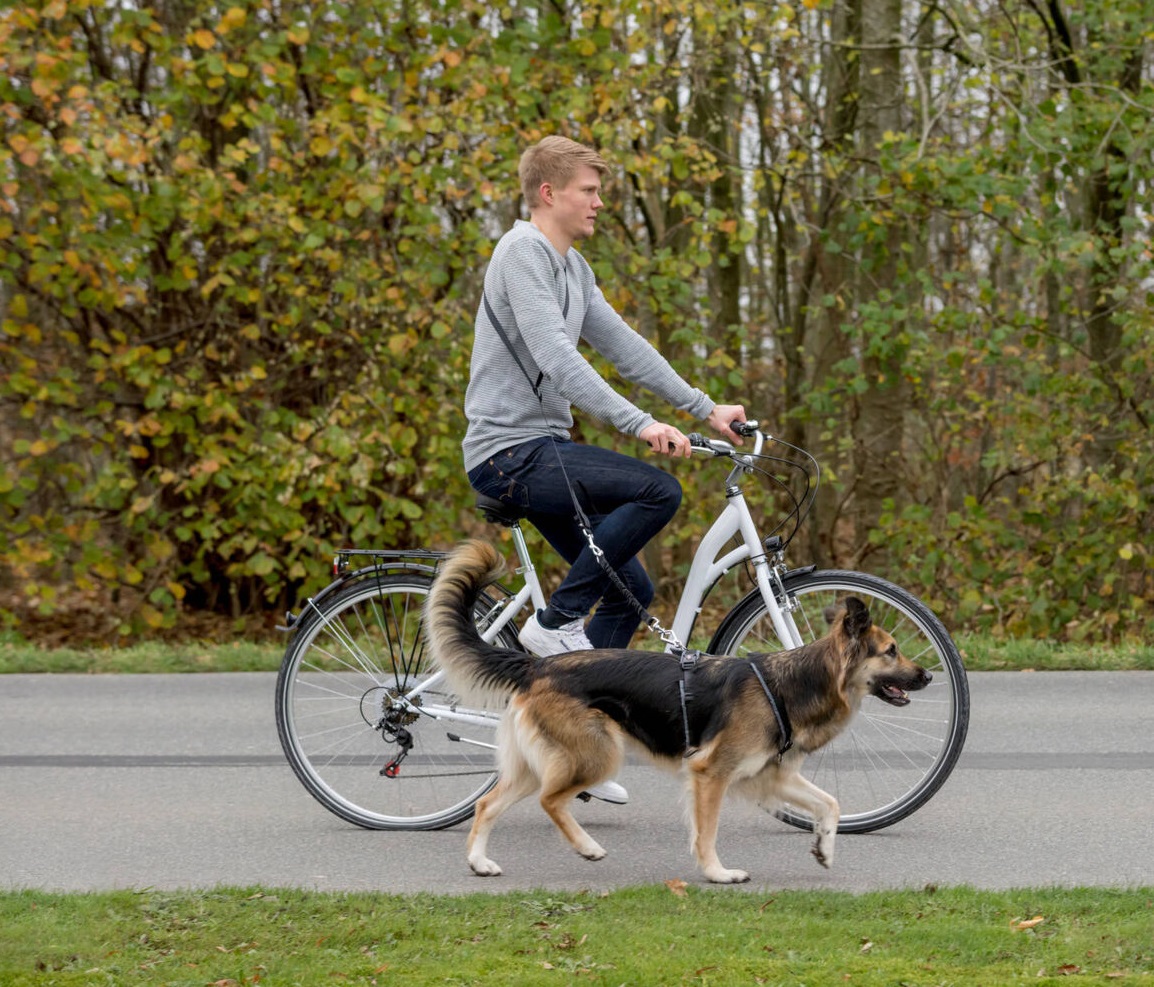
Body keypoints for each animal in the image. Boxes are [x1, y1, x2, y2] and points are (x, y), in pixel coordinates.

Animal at [420, 544, 932, 881]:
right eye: (891, 651)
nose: (928, 675)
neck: (789, 684)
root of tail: (539, 664)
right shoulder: (711, 774)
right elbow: (707, 832)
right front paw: (717, 873)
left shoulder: (772, 776)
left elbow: (830, 804)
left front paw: (824, 847)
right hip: (597, 756)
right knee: (551, 800)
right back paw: (587, 848)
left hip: (536, 763)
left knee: (488, 804)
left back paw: (480, 862)